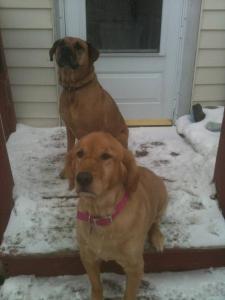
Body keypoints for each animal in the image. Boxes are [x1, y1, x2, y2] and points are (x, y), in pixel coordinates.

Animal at [48, 37, 128, 178]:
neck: (74, 89)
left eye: (79, 47)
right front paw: (67, 171)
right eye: (61, 43)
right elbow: (69, 150)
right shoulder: (69, 128)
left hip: (120, 137)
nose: (65, 49)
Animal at [65, 132, 167, 300]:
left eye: (106, 156)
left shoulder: (135, 267)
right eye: (79, 154)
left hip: (162, 200)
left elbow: (129, 295)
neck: (101, 214)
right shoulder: (88, 257)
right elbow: (97, 286)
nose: (82, 178)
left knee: (155, 223)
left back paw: (157, 238)